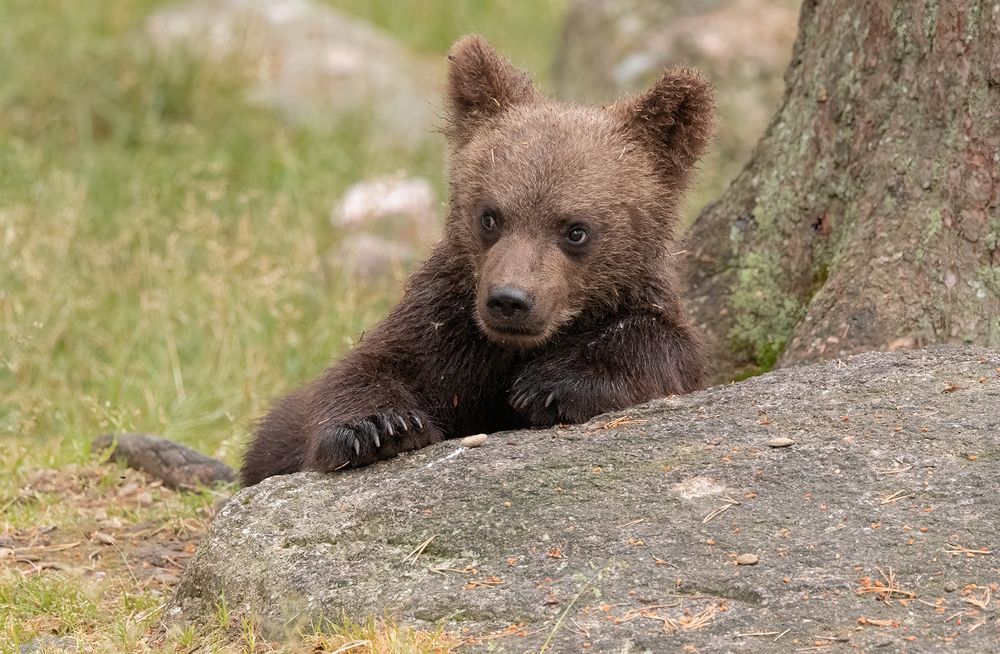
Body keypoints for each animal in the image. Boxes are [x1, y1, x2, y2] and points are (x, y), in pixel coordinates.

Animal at [240, 35, 714, 487]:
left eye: (576, 230)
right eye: (490, 216)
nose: (510, 300)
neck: (511, 350)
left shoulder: (640, 309)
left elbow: (657, 346)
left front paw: (549, 387)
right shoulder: (446, 326)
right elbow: (367, 368)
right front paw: (375, 427)